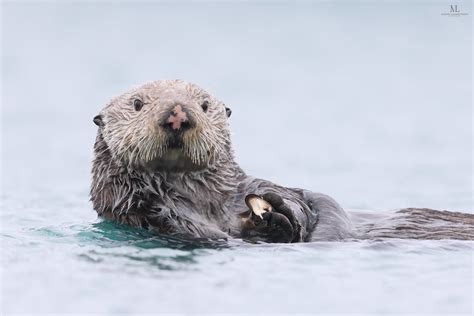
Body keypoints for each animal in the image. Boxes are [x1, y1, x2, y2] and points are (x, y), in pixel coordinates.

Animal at [90, 79, 474, 242]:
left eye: (204, 104)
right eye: (138, 103)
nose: (177, 114)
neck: (204, 199)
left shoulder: (245, 184)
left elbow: (314, 200)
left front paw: (277, 206)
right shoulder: (140, 212)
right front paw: (268, 222)